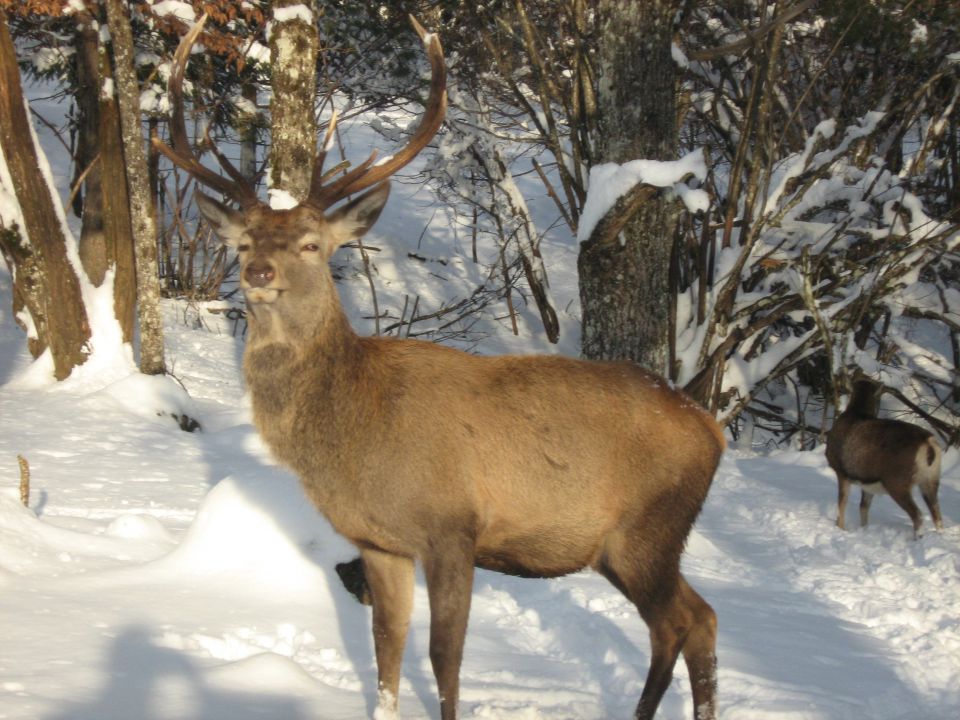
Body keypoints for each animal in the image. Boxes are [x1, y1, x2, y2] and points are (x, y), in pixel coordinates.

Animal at [158, 16, 724, 720]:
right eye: (242, 242)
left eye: (312, 244)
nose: (258, 272)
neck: (353, 427)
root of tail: (714, 431)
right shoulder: (380, 542)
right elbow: (387, 645)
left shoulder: (454, 527)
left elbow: (444, 658)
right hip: (629, 547)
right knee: (697, 618)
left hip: (649, 528)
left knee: (684, 620)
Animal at [824, 376, 944, 540]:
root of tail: (929, 445)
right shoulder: (867, 483)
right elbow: (863, 507)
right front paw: (864, 529)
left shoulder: (841, 472)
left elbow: (842, 503)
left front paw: (841, 528)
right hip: (931, 480)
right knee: (937, 515)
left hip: (897, 483)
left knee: (917, 515)